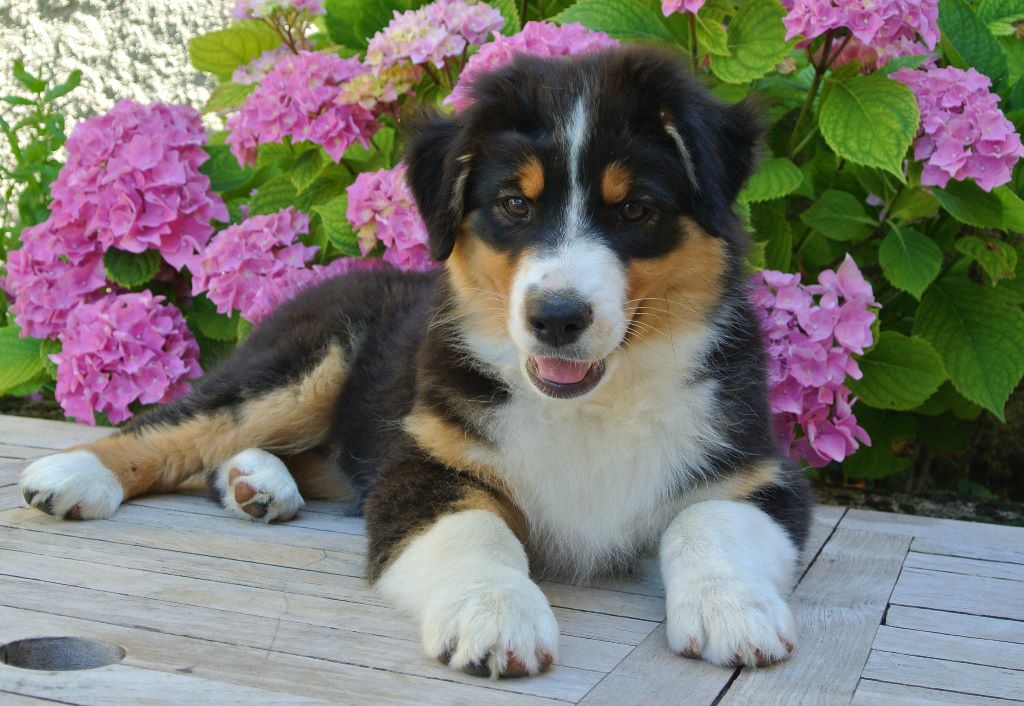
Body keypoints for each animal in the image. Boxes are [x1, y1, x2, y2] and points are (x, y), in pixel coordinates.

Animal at [20, 46, 811, 678]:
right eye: (514, 205)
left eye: (636, 209)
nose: (556, 318)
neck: (591, 407)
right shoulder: (423, 464)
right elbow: (477, 531)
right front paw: (495, 617)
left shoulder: (759, 472)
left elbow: (706, 522)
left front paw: (733, 610)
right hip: (309, 360)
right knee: (190, 422)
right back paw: (74, 475)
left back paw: (258, 484)